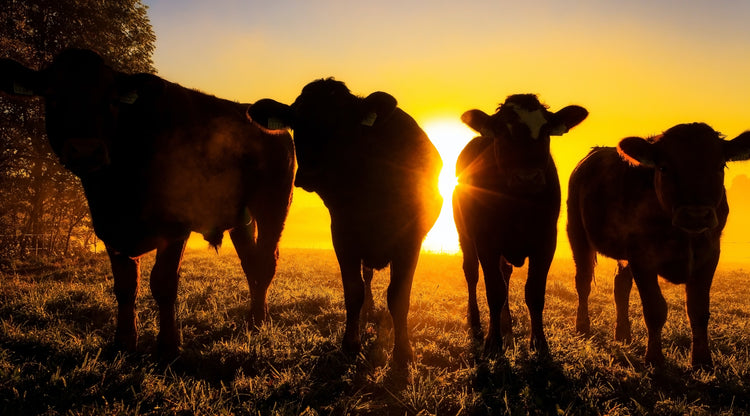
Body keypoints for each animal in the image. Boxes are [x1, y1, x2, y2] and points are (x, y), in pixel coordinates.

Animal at [0, 49, 296, 357]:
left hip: (274, 205)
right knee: (250, 262)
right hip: (241, 217)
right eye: (53, 95)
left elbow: (163, 283)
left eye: (111, 99)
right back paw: (252, 317)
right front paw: (124, 341)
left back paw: (258, 321)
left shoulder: (175, 226)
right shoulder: (110, 229)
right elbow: (125, 286)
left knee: (266, 261)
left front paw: (168, 346)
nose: (85, 150)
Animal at [246, 78, 442, 366]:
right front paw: (350, 343)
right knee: (367, 277)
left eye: (342, 123)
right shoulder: (342, 234)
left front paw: (403, 350)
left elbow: (398, 296)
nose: (310, 173)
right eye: (296, 121)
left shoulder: (410, 240)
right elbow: (353, 291)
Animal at [453, 94, 588, 354]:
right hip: (464, 234)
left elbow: (534, 293)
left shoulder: (546, 241)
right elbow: (494, 291)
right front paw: (492, 343)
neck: (518, 206)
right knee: (471, 273)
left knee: (505, 274)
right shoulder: (485, 240)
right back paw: (476, 323)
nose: (527, 178)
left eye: (545, 130)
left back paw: (507, 328)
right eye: (502, 131)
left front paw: (539, 343)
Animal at [567, 123, 750, 368]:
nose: (696, 214)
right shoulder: (642, 256)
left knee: (620, 286)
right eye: (664, 168)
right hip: (577, 234)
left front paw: (702, 361)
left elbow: (699, 309)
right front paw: (654, 358)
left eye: (720, 165)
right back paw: (583, 327)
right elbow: (655, 309)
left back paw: (623, 334)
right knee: (583, 282)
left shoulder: (709, 254)